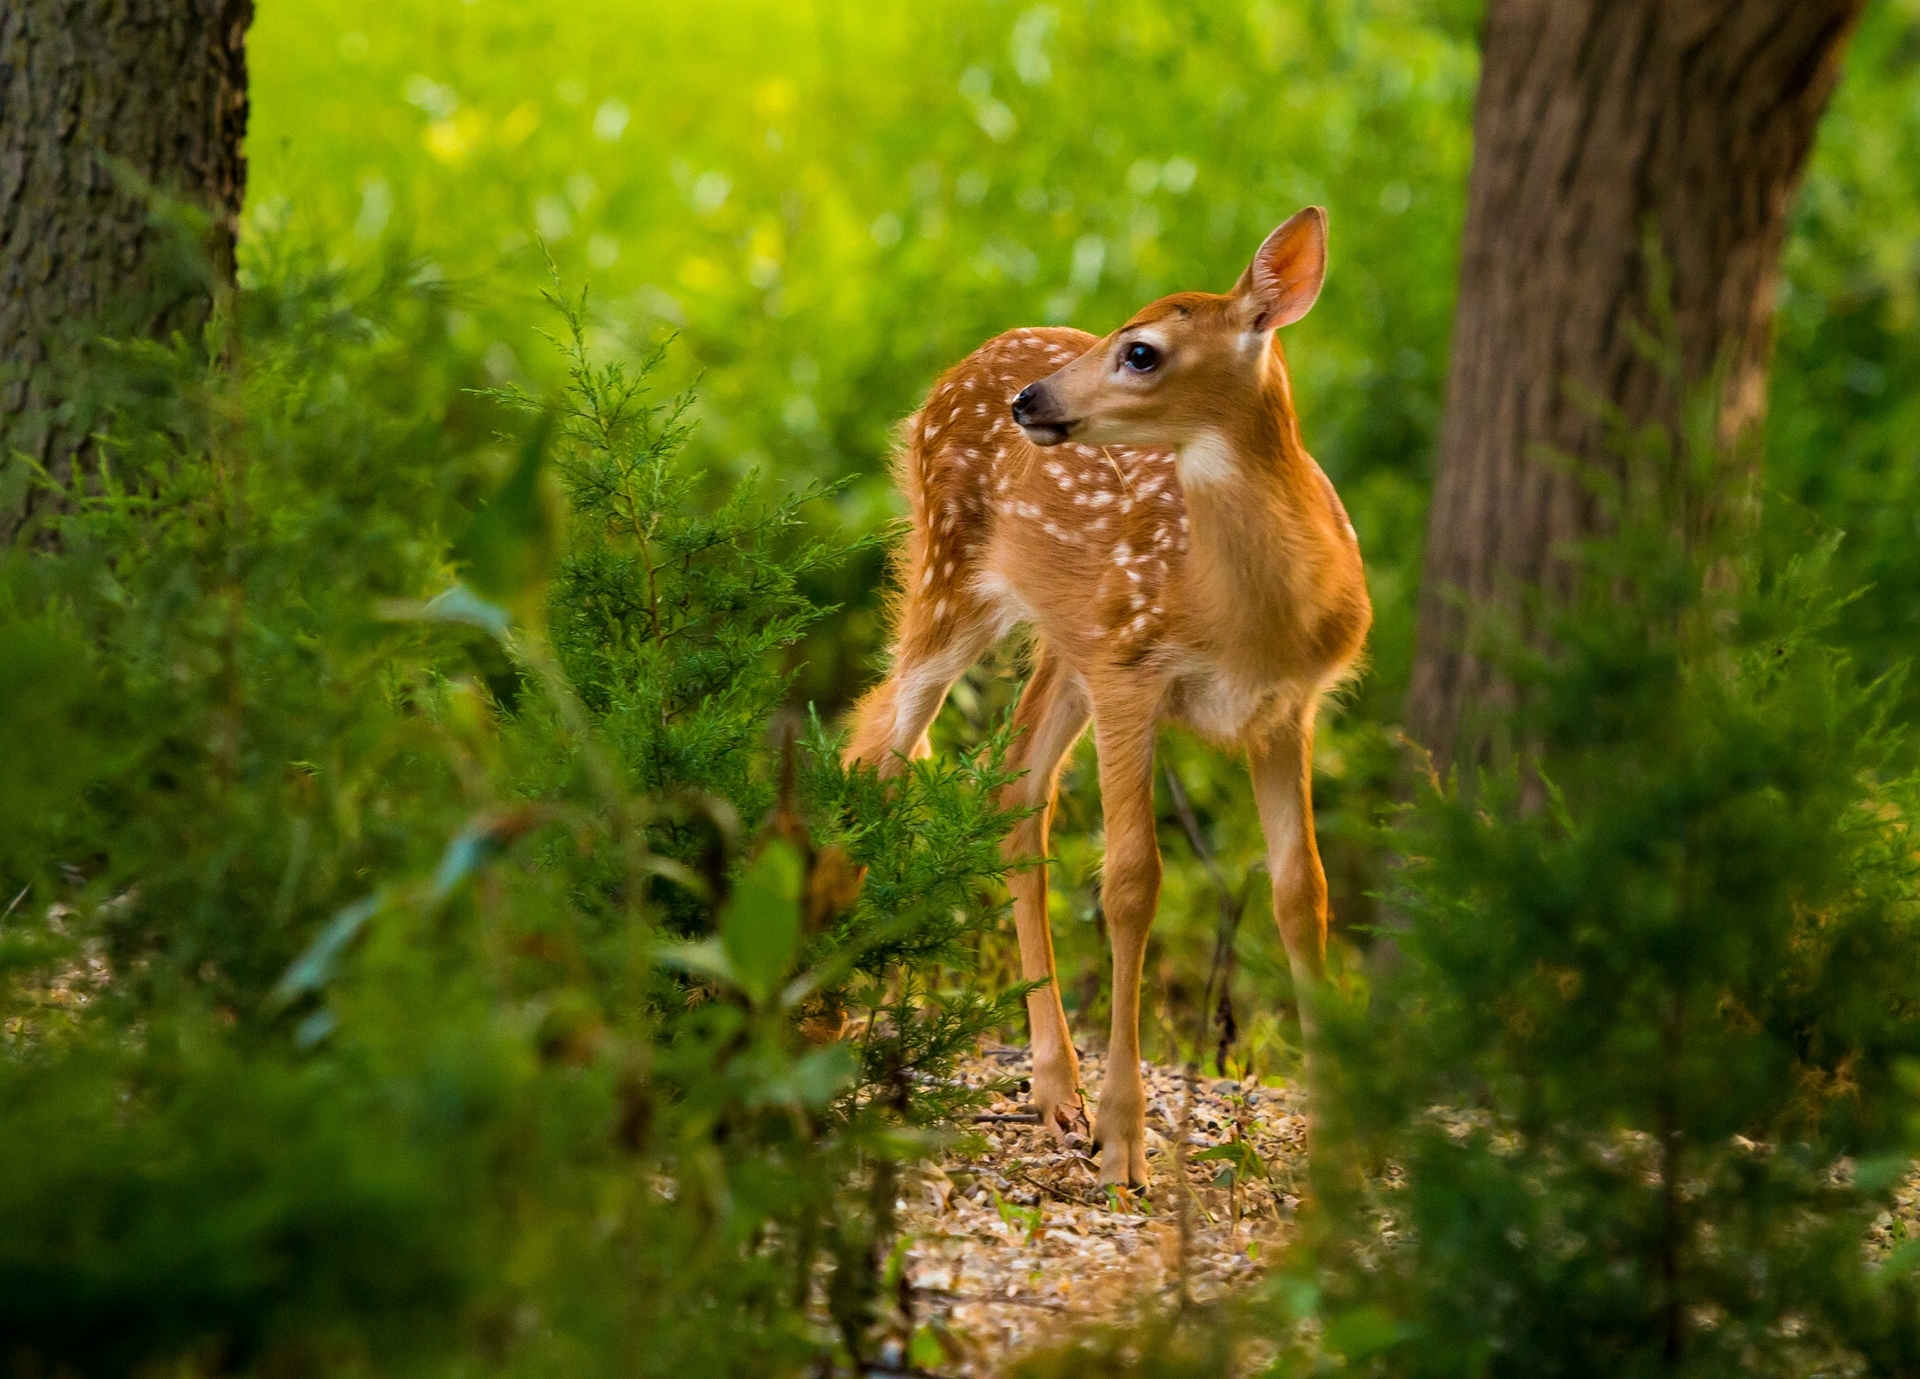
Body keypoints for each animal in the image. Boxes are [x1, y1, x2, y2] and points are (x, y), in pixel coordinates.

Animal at [844, 205, 1367, 1190]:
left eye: (1142, 351)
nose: (1031, 402)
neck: (1245, 614)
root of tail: (963, 367)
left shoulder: (1287, 709)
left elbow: (1302, 891)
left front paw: (1338, 1145)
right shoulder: (1134, 673)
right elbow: (1131, 880)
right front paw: (1126, 1141)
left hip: (1067, 640)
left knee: (1011, 785)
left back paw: (1055, 1088)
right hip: (948, 574)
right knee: (880, 746)